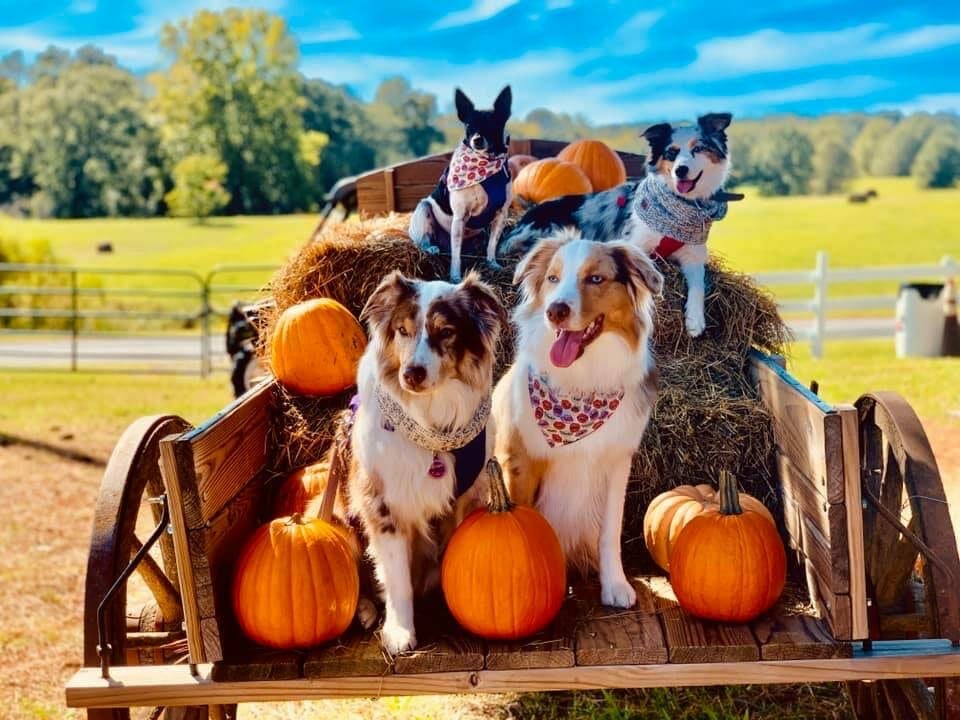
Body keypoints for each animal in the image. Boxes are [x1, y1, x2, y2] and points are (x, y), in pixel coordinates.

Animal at [408, 86, 512, 282]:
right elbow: (456, 256)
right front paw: (456, 277)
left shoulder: (501, 214)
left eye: (492, 125)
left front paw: (492, 264)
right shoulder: (460, 218)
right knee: (423, 241)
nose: (477, 139)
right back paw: (431, 247)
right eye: (469, 126)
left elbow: (492, 245)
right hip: (424, 209)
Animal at [498, 113, 740, 338]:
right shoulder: (634, 243)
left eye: (698, 148)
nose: (680, 170)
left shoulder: (693, 256)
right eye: (671, 153)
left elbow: (698, 286)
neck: (679, 206)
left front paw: (695, 320)